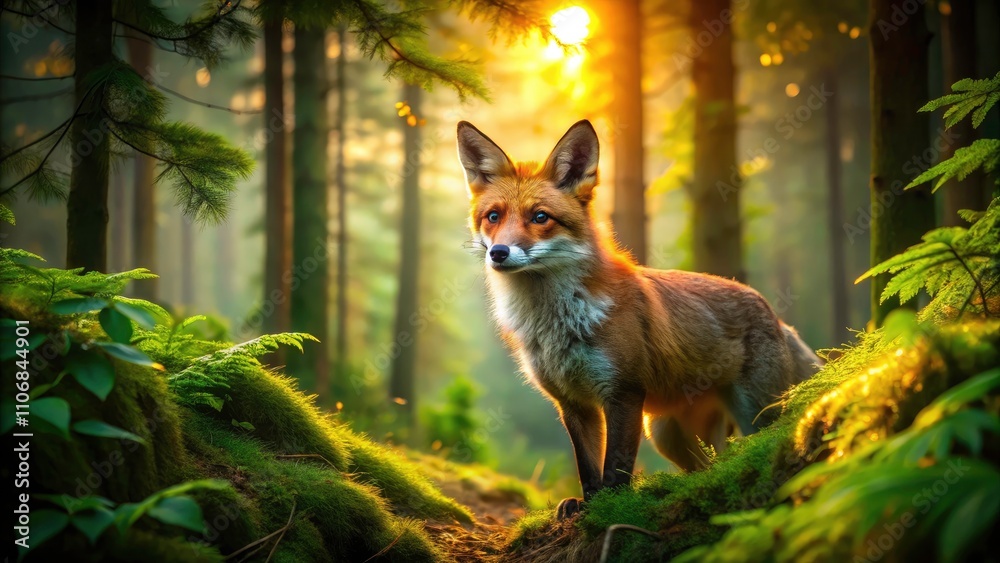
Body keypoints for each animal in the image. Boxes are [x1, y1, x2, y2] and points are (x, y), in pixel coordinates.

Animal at [456, 119, 823, 519]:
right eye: (493, 217)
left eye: (540, 218)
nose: (498, 252)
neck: (558, 323)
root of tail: (773, 312)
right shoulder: (572, 402)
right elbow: (588, 467)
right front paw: (586, 505)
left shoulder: (624, 393)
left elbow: (616, 467)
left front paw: (608, 512)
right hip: (666, 433)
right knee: (711, 466)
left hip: (754, 414)